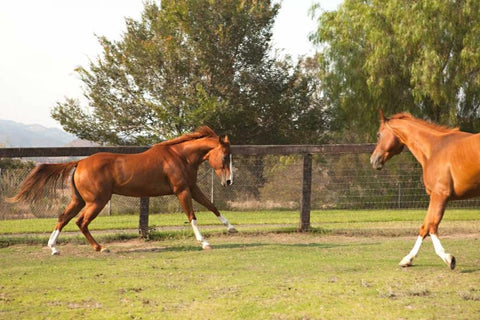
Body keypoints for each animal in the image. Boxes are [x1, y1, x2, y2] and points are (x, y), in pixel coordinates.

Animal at [8, 126, 237, 254]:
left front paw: (231, 228)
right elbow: (192, 216)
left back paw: (54, 248)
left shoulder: (192, 187)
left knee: (63, 218)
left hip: (79, 200)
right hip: (96, 201)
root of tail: (80, 162)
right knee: (80, 222)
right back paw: (100, 247)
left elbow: (212, 206)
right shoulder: (181, 190)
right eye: (226, 156)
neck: (179, 156)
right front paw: (204, 242)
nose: (229, 182)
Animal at [372, 111, 480, 268]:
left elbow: (432, 226)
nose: (373, 160)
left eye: (378, 135)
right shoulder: (434, 196)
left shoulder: (439, 195)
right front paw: (408, 259)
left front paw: (448, 258)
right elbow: (424, 227)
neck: (434, 149)